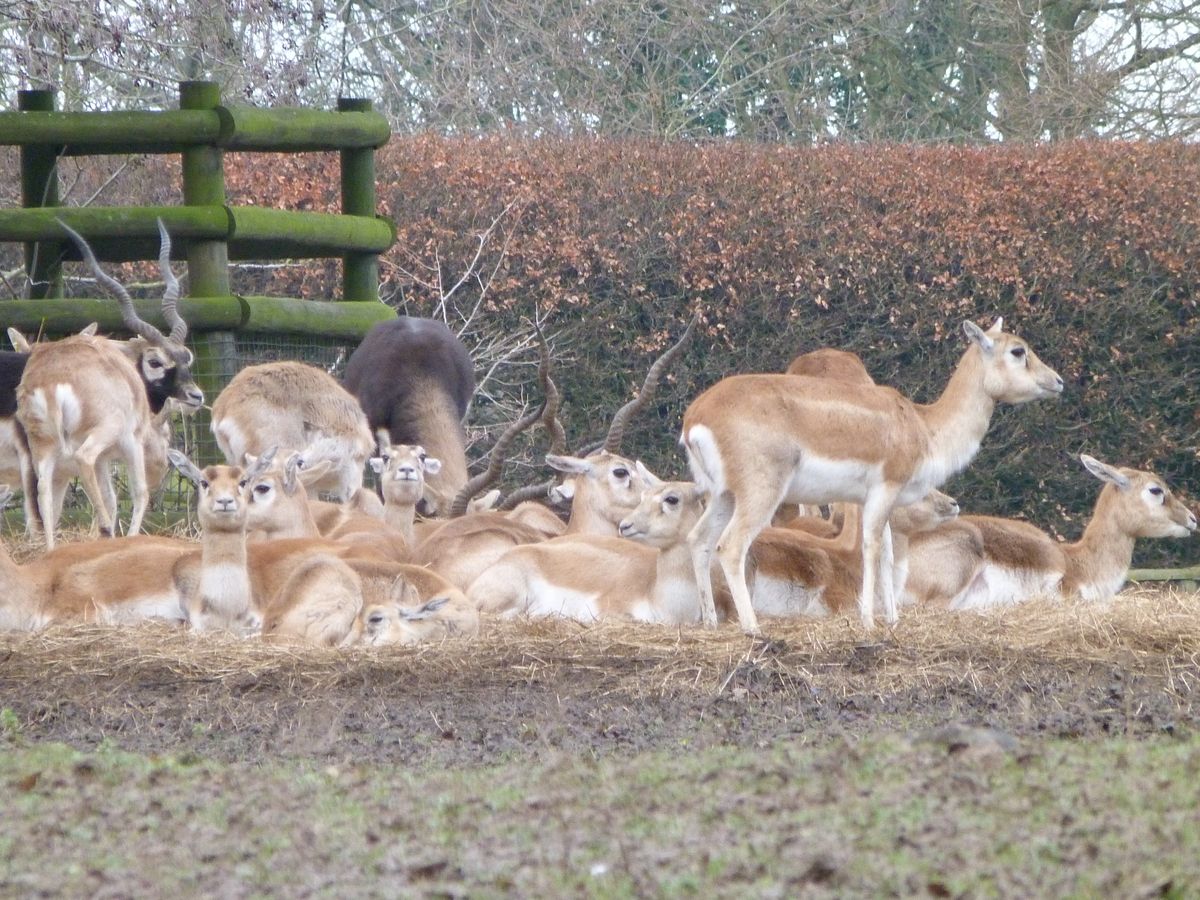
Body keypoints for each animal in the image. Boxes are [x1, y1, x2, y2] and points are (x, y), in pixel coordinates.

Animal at [681, 316, 1065, 633]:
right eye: (1018, 350)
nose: (1058, 382)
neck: (922, 425)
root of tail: (696, 417)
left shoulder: (873, 499)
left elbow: (889, 554)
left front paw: (893, 620)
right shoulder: (884, 490)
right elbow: (872, 547)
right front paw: (868, 621)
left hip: (722, 495)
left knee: (698, 539)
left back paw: (710, 623)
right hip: (760, 493)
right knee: (730, 545)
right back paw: (753, 627)